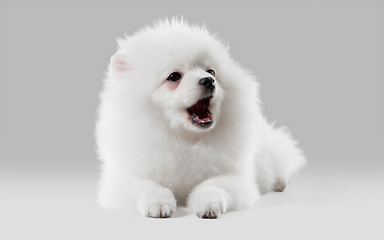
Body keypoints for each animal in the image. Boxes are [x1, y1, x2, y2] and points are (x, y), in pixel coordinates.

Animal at [94, 17, 304, 218]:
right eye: (174, 77)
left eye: (211, 71)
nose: (208, 81)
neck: (185, 139)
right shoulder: (124, 178)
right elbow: (148, 187)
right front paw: (159, 204)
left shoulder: (235, 176)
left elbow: (213, 186)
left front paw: (209, 204)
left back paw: (280, 183)